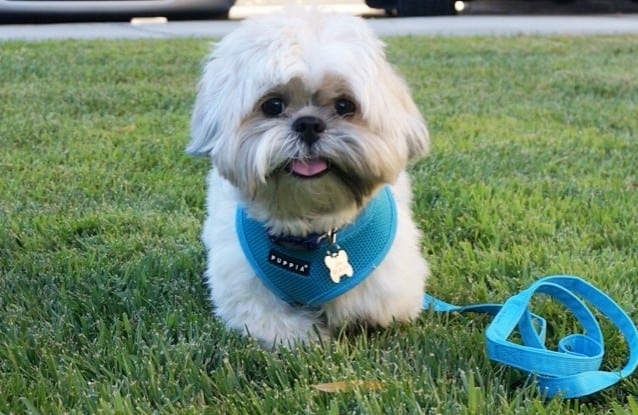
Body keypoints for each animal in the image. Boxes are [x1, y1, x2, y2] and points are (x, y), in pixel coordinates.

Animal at [188, 9, 432, 348]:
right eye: (273, 105)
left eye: (344, 105)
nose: (308, 124)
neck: (313, 232)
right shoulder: (247, 295)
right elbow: (284, 326)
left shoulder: (391, 292)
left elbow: (368, 309)